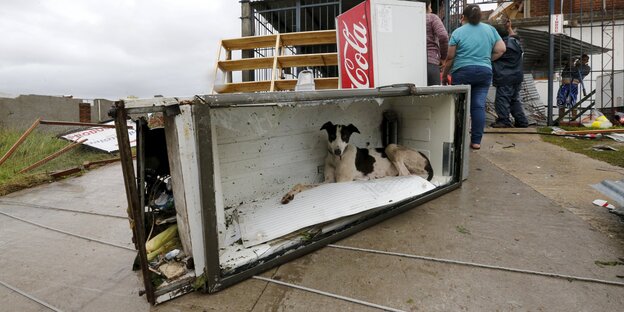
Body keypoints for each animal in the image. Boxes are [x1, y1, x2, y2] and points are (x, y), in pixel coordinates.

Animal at [282, 121, 434, 205]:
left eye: (345, 136)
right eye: (332, 136)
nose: (337, 151)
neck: (337, 159)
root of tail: (427, 159)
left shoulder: (340, 182)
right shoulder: (329, 180)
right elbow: (302, 184)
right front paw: (288, 195)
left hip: (391, 147)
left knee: (404, 173)